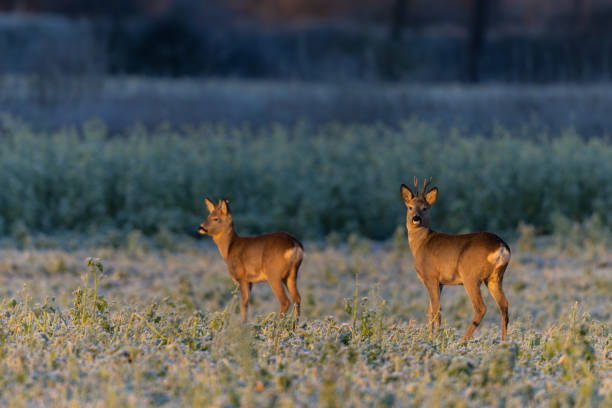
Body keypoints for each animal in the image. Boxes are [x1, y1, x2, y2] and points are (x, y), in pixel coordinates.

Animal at [402, 178, 512, 342]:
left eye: (425, 208)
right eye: (410, 207)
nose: (416, 218)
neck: (421, 244)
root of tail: (502, 246)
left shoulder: (431, 277)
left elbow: (436, 310)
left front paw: (436, 339)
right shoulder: (441, 282)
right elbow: (430, 310)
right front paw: (431, 338)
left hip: (471, 277)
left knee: (481, 308)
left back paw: (460, 342)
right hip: (495, 278)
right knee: (504, 306)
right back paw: (504, 342)